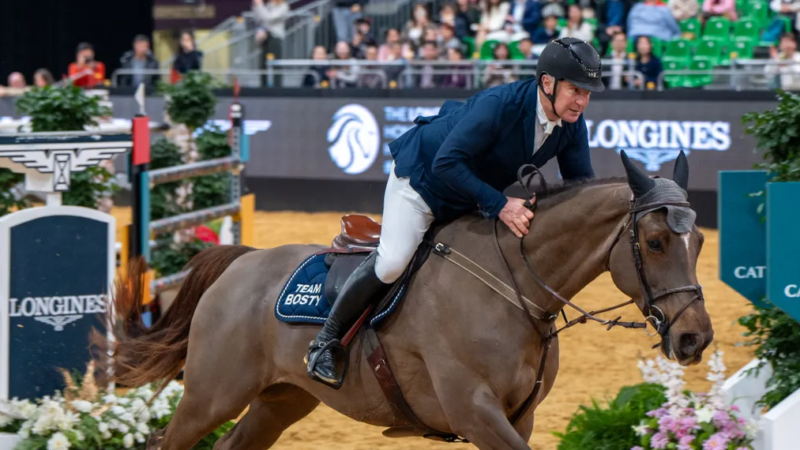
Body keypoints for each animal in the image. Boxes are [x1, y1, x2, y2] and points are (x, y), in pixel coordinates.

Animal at [107, 151, 714, 450]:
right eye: (655, 242)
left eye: (701, 242)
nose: (694, 338)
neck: (515, 288)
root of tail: (239, 266)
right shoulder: (474, 409)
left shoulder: (518, 418)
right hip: (212, 396)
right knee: (167, 441)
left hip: (281, 400)